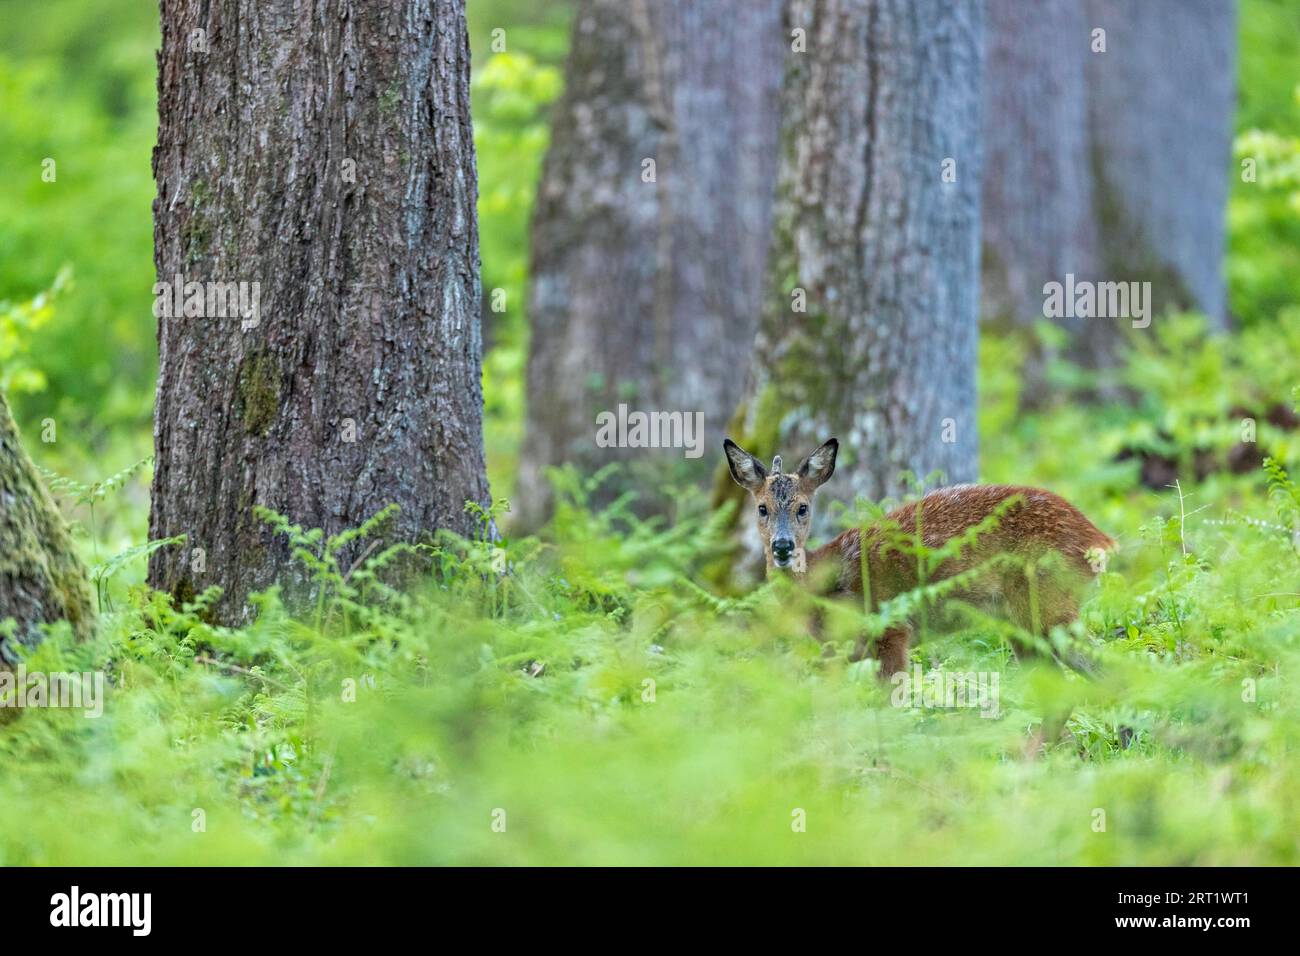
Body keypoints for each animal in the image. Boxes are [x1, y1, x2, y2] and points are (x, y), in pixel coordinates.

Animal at [722, 437, 1118, 676]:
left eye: (803, 508)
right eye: (762, 508)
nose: (783, 547)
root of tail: (1098, 540)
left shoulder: (892, 628)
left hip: (1047, 603)